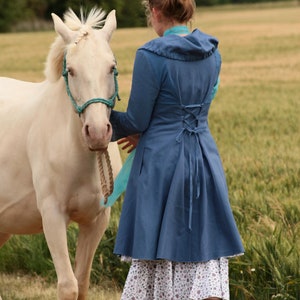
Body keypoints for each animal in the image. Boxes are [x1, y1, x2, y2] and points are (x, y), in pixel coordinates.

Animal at [0, 7, 122, 300]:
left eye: (111, 67)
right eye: (71, 70)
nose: (97, 132)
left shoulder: (96, 220)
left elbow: (82, 283)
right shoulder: (52, 216)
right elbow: (68, 285)